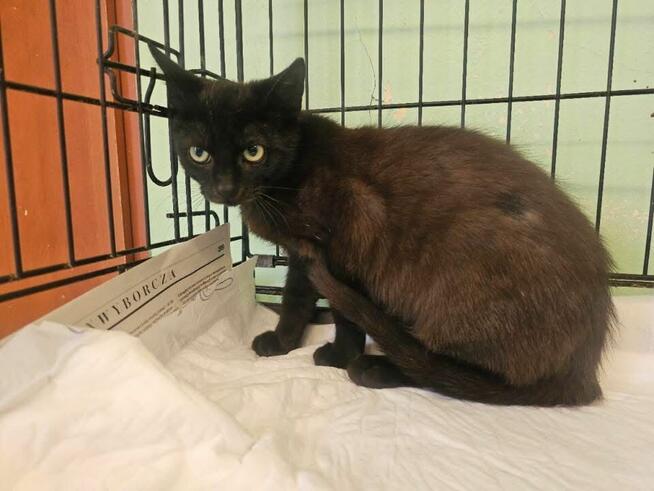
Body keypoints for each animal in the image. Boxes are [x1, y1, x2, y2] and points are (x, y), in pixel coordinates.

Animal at [150, 45, 614, 406]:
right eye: (199, 152)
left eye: (253, 151)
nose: (225, 189)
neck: (288, 176)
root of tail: (584, 371)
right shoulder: (303, 253)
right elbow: (297, 295)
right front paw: (287, 338)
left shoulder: (348, 234)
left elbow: (343, 312)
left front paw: (333, 354)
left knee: (460, 370)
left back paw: (379, 365)